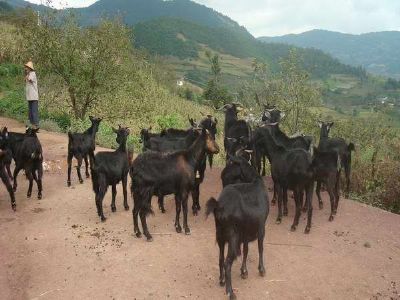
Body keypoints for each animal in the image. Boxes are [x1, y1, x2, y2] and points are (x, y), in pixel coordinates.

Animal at [206, 156, 268, 298]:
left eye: (232, 165)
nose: (222, 175)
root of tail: (219, 206)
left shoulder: (245, 233)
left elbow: (246, 250)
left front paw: (244, 271)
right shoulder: (261, 227)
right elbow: (260, 247)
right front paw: (261, 270)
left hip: (220, 236)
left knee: (220, 259)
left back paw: (222, 280)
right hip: (232, 238)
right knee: (227, 263)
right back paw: (230, 292)